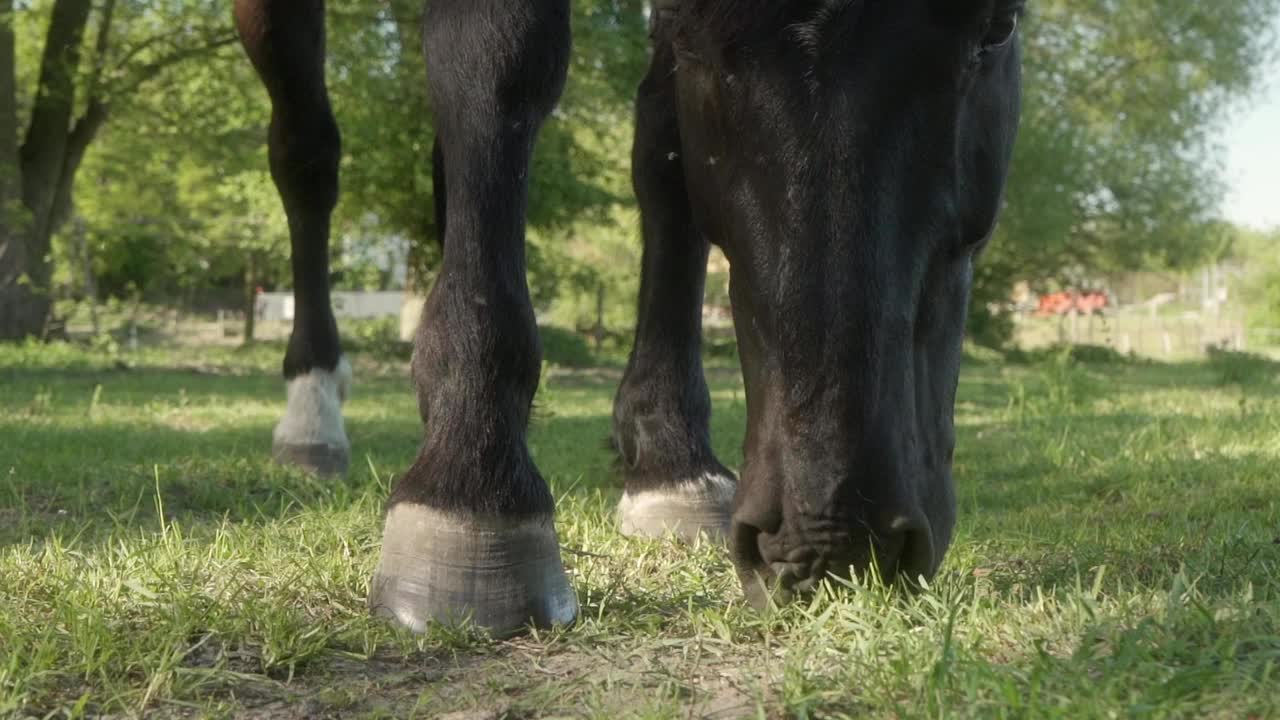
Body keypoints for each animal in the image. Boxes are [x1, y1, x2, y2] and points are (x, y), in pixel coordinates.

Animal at [235, 0, 1024, 630]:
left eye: (999, 26)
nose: (833, 541)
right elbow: (499, 54)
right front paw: (471, 484)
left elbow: (663, 147)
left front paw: (669, 456)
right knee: (306, 150)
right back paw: (313, 412)